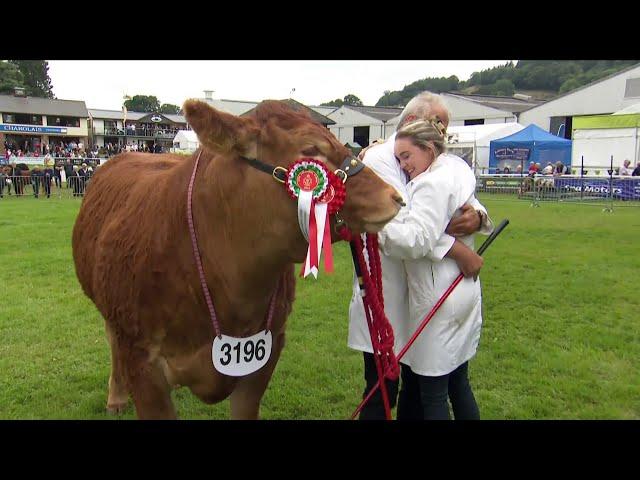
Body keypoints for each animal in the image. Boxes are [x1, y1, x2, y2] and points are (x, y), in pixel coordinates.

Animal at [72, 99, 402, 418]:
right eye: (310, 149)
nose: (393, 196)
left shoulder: (267, 352)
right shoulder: (142, 361)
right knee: (111, 342)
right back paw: (116, 397)